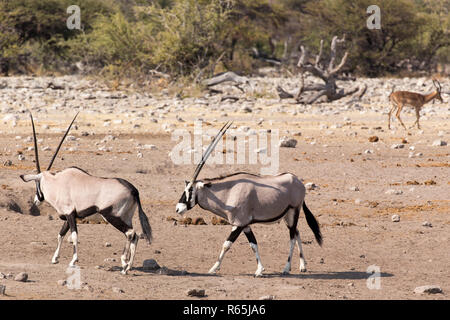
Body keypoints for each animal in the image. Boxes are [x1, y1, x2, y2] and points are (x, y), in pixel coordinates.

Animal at [19, 111, 152, 274]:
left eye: (37, 183)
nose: (36, 200)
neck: (58, 183)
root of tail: (133, 190)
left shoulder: (70, 214)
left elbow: (74, 236)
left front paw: (73, 261)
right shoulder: (70, 216)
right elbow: (60, 234)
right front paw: (55, 258)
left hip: (112, 216)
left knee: (130, 233)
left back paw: (124, 264)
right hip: (126, 217)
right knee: (136, 236)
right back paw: (128, 267)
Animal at [174, 121, 322, 276]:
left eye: (190, 189)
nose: (178, 208)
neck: (229, 192)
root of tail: (297, 181)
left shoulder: (238, 224)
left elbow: (226, 244)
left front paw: (213, 268)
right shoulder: (245, 225)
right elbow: (253, 244)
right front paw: (260, 269)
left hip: (294, 212)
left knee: (292, 238)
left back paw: (286, 268)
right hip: (287, 216)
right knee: (297, 233)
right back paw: (303, 265)